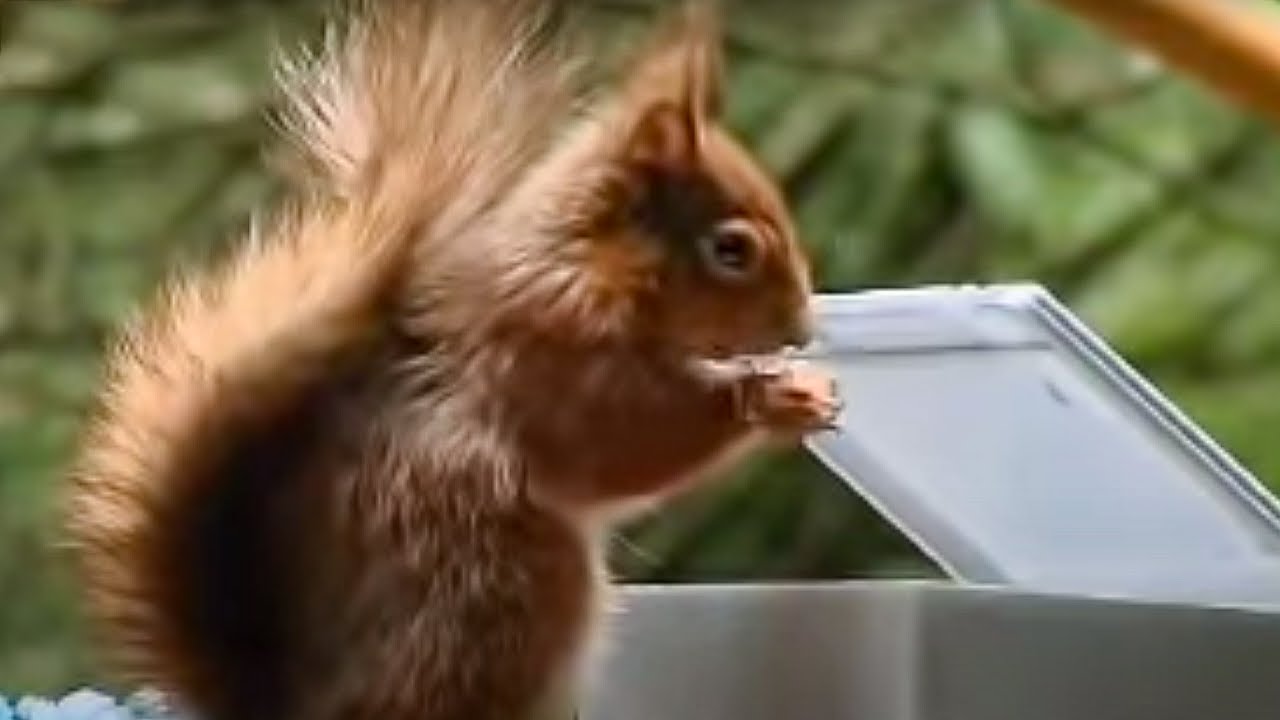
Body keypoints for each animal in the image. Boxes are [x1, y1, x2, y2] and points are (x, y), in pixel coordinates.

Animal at [63, 1, 840, 719]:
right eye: (731, 250)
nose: (801, 327)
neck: (578, 269)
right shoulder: (538, 357)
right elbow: (632, 433)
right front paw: (779, 398)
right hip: (498, 594)